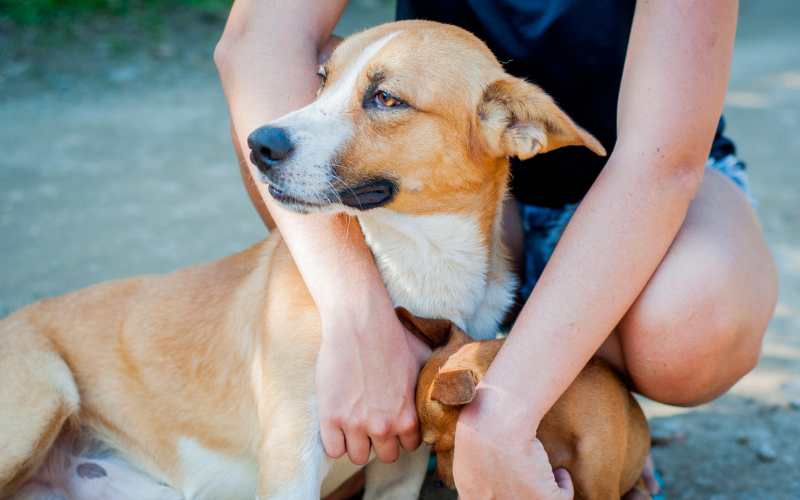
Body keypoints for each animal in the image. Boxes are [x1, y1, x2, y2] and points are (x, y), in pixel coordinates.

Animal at [0, 20, 608, 500]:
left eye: (386, 98)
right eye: (322, 78)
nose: (259, 143)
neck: (415, 267)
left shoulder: (402, 462)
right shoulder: (290, 455)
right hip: (42, 403)